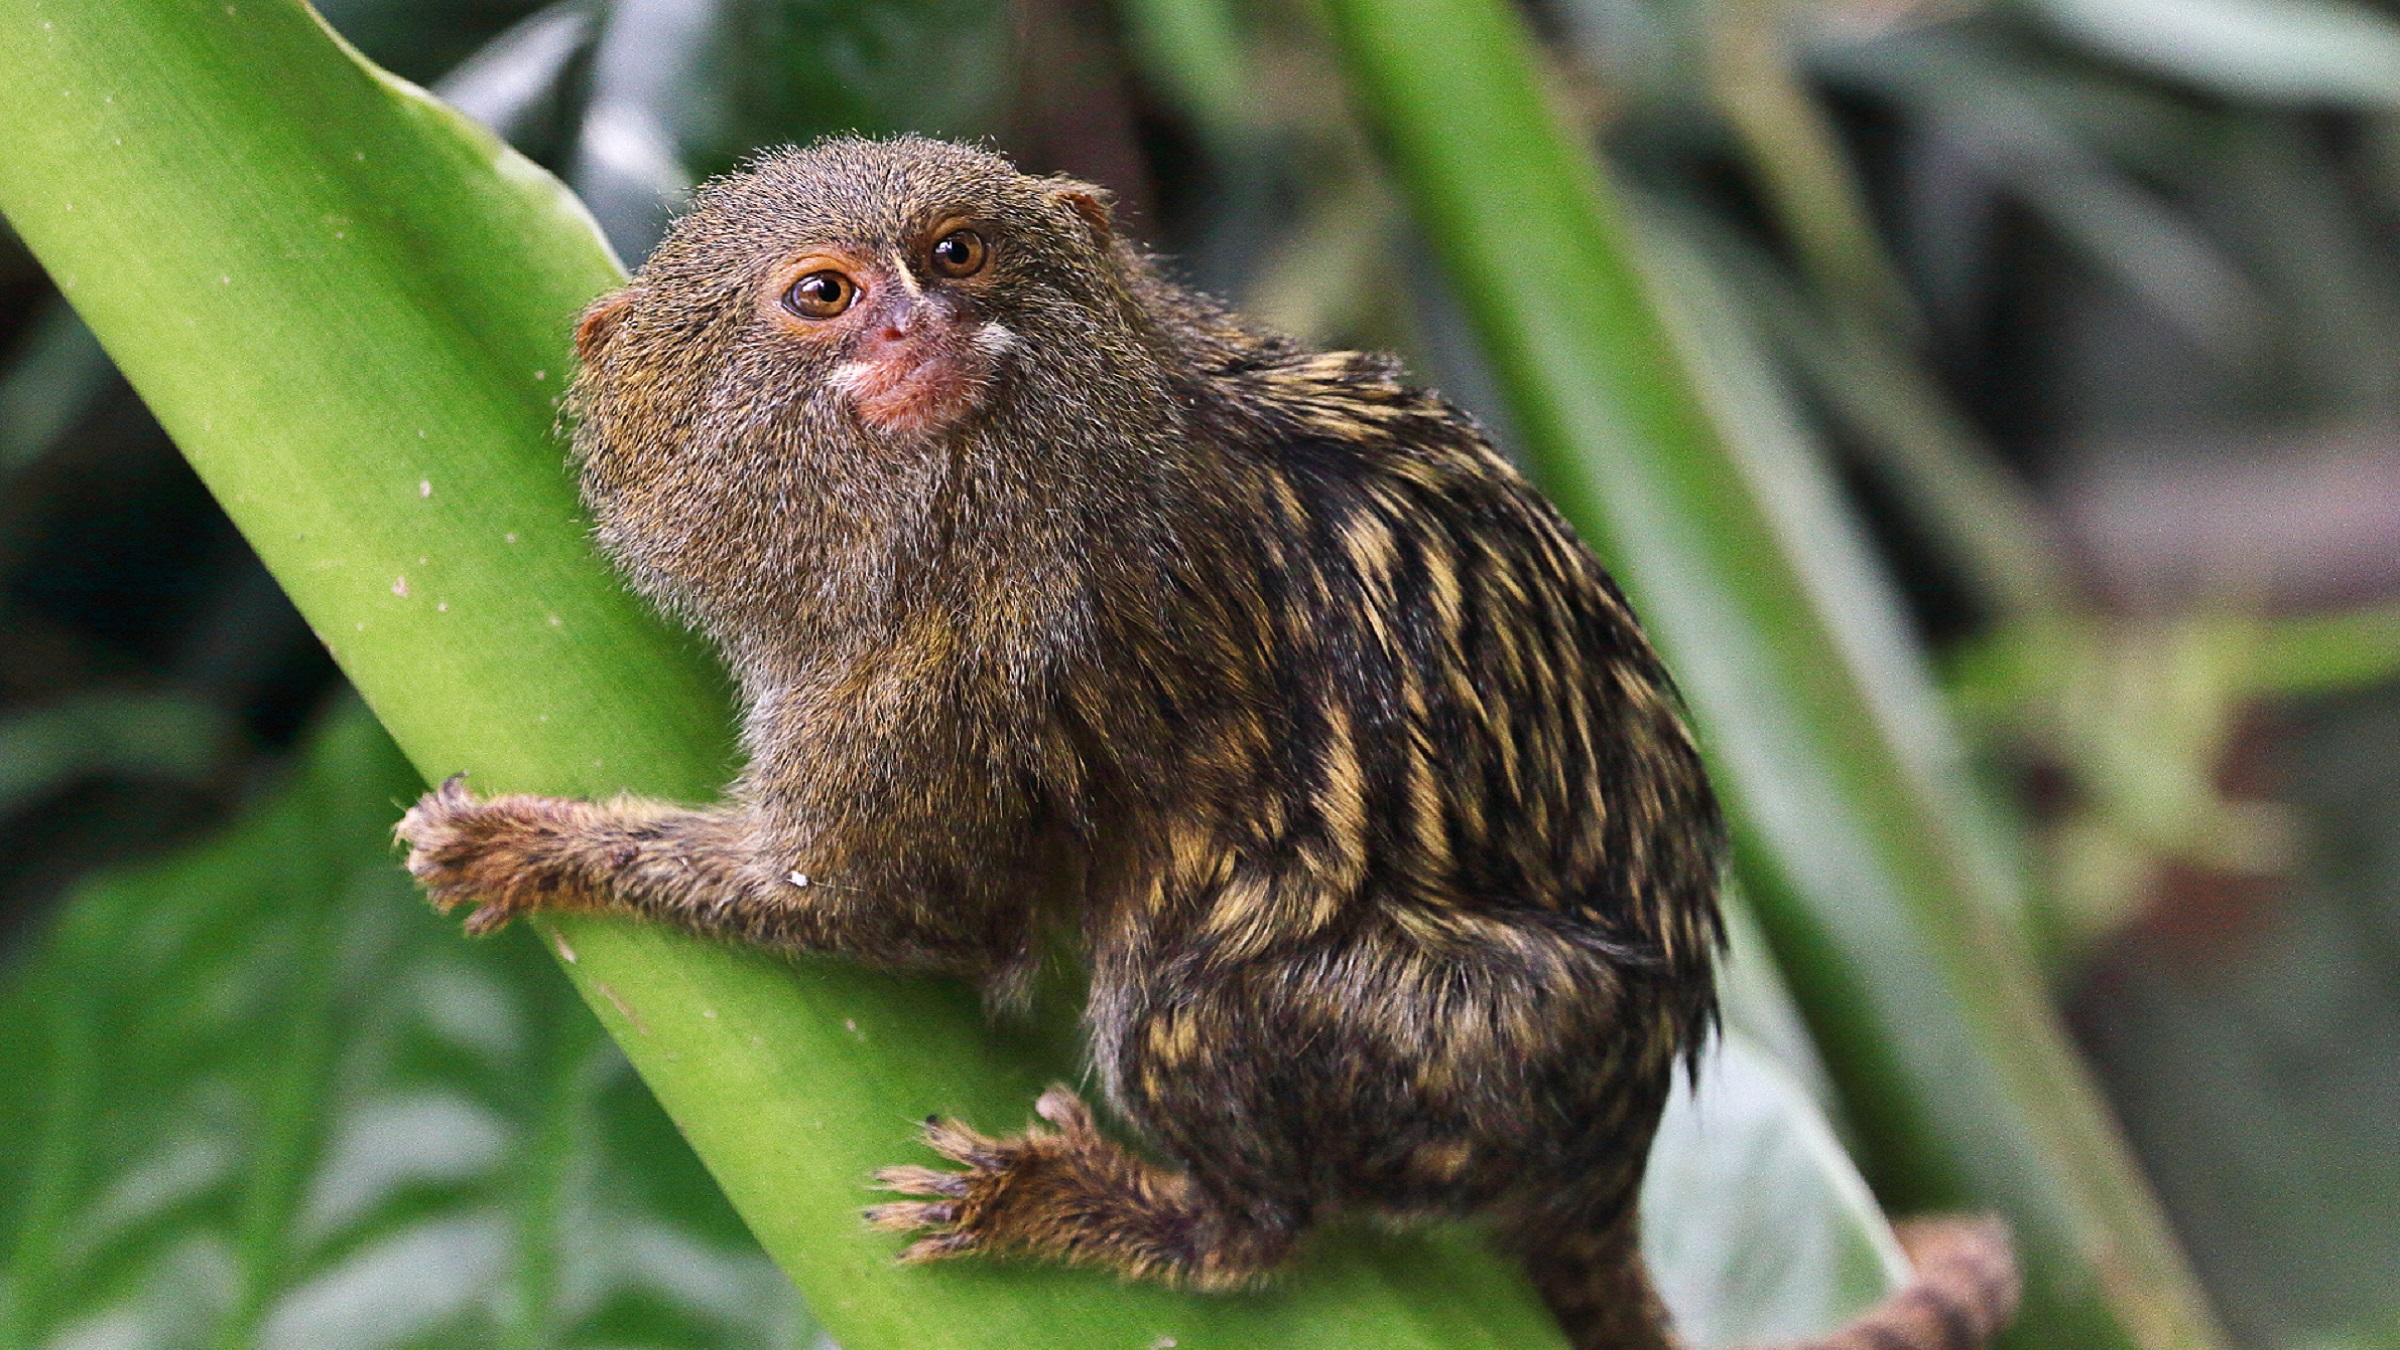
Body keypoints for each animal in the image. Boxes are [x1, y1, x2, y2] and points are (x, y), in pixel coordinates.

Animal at [396, 135, 2018, 1349]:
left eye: (956, 255)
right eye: (822, 293)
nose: (921, 328)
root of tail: (1622, 1131)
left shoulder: (984, 657)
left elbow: (876, 902)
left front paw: (539, 847)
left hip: (1489, 1044)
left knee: (1199, 1002)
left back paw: (1167, 1217)